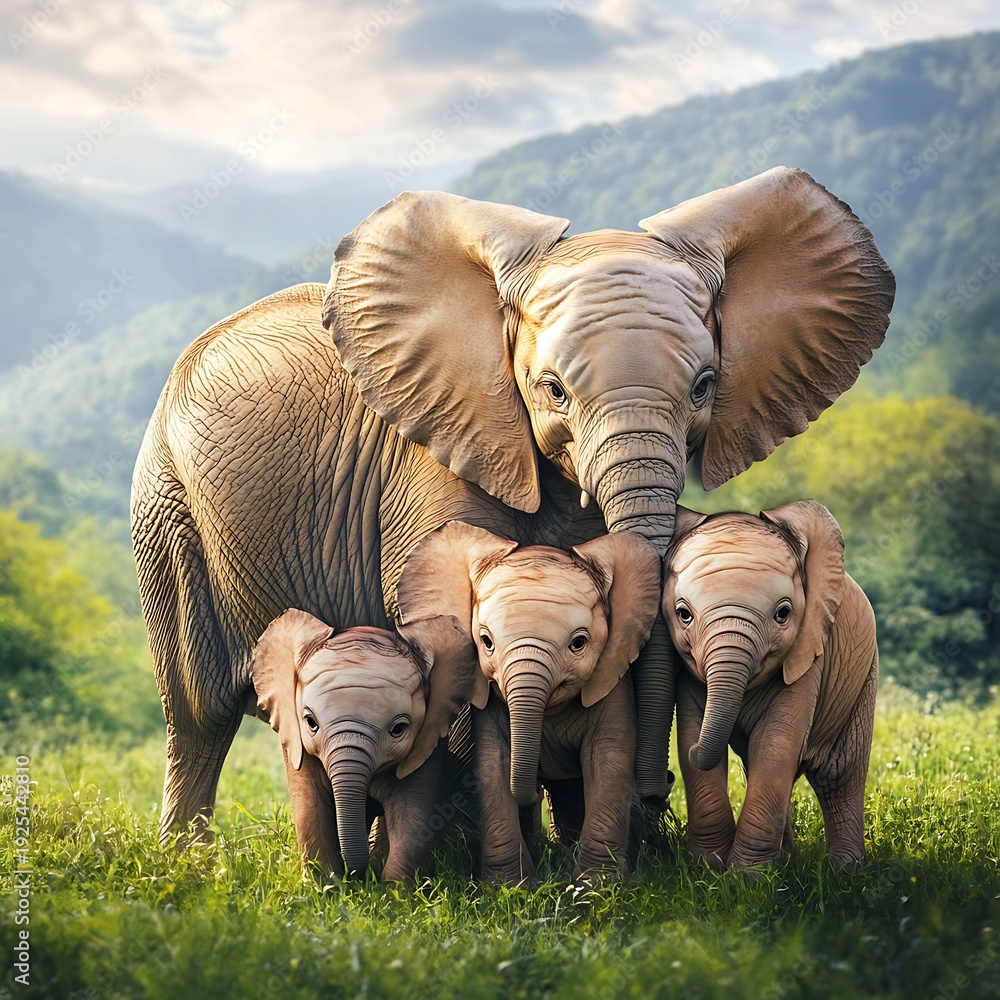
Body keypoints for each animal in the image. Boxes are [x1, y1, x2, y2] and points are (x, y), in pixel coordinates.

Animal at [251, 608, 479, 880]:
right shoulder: (296, 741)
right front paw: (326, 884)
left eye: (399, 729)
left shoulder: (426, 746)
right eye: (310, 722)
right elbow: (311, 807)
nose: (357, 875)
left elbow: (410, 814)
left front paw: (394, 888)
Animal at [397, 520, 662, 884]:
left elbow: (608, 761)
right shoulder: (491, 704)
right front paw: (510, 886)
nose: (536, 789)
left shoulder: (611, 683)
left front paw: (596, 886)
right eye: (486, 641)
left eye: (579, 643)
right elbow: (493, 766)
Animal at [663, 501, 879, 869]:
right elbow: (691, 732)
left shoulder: (810, 654)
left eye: (783, 614)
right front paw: (706, 867)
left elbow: (775, 744)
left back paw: (845, 870)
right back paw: (787, 859)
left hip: (865, 675)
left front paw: (746, 876)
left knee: (837, 773)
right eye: (683, 614)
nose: (667, 779)